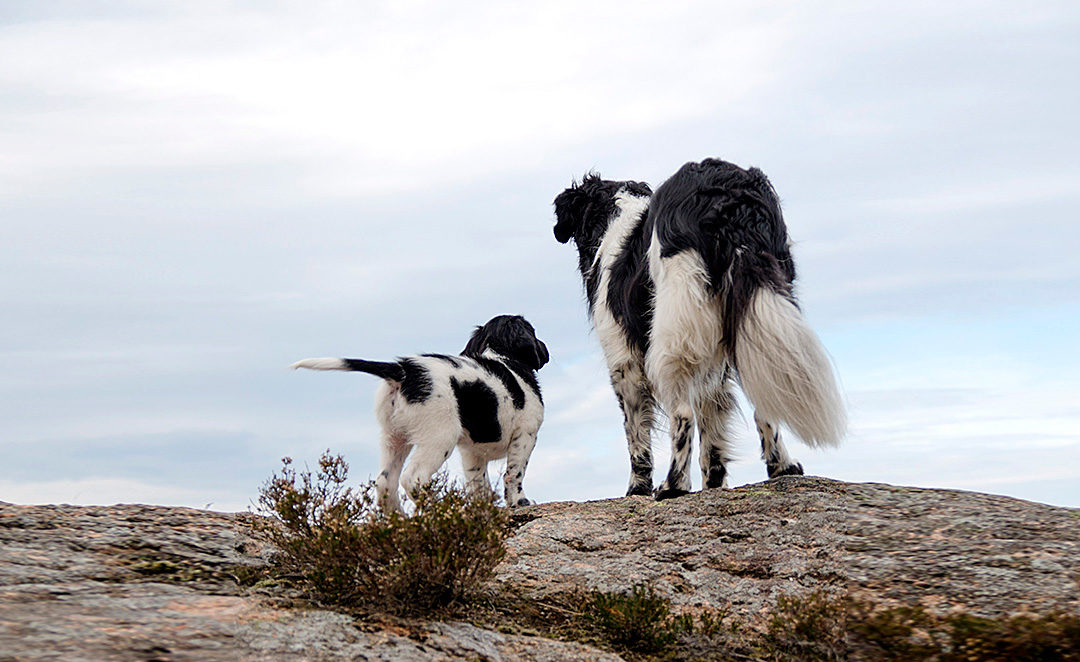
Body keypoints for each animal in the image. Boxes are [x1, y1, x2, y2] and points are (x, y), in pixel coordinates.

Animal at [291, 315, 548, 511]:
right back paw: (440, 510)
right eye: (534, 331)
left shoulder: (472, 452)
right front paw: (521, 502)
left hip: (394, 436)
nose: (545, 350)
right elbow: (514, 473)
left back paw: (397, 520)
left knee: (385, 482)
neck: (503, 358)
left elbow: (478, 485)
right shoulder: (526, 434)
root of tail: (403, 369)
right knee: (413, 478)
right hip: (440, 436)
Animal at [557, 159, 842, 498]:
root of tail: (729, 193)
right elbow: (714, 430)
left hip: (676, 328)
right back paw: (782, 467)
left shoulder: (624, 361)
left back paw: (673, 485)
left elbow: (637, 432)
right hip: (761, 309)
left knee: (682, 413)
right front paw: (714, 485)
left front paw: (638, 488)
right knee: (766, 393)